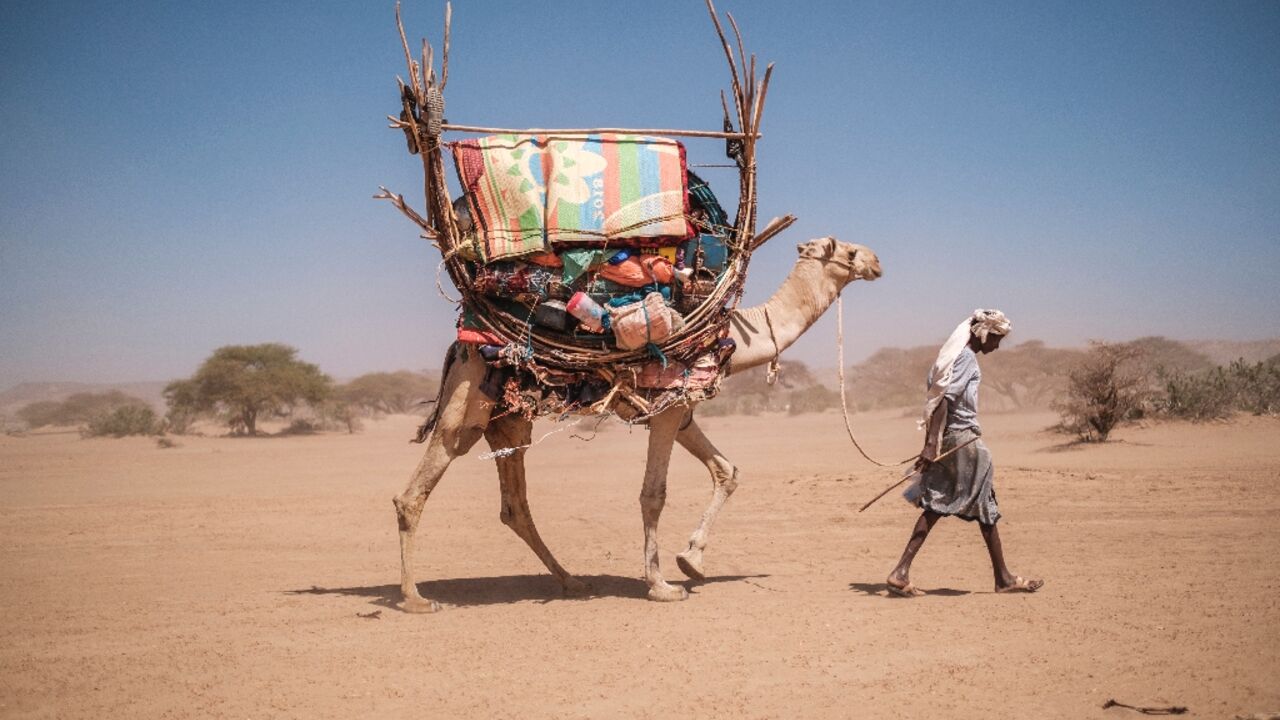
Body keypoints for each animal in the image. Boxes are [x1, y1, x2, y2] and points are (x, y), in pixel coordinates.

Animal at [394, 235, 885, 609]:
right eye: (848, 250)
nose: (878, 261)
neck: (731, 336)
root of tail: (460, 345)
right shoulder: (667, 411)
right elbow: (654, 494)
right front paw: (662, 585)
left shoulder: (679, 410)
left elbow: (727, 471)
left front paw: (692, 561)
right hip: (468, 405)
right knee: (416, 489)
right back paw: (415, 598)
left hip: (510, 421)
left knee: (515, 506)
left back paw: (572, 581)